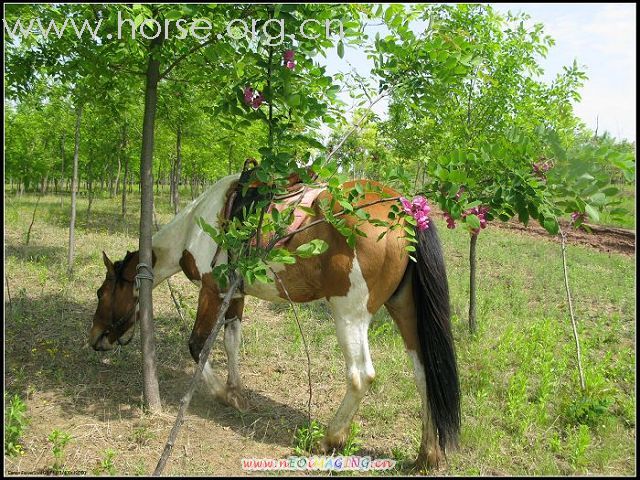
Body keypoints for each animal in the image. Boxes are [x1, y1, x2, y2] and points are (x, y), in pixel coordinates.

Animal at [90, 172, 460, 468]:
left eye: (100, 292)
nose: (95, 339)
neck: (196, 224)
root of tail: (404, 208)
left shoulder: (212, 290)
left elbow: (198, 346)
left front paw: (222, 394)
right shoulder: (235, 296)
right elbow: (231, 341)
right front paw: (236, 389)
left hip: (350, 314)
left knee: (361, 376)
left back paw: (330, 438)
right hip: (404, 309)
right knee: (425, 374)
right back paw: (428, 454)